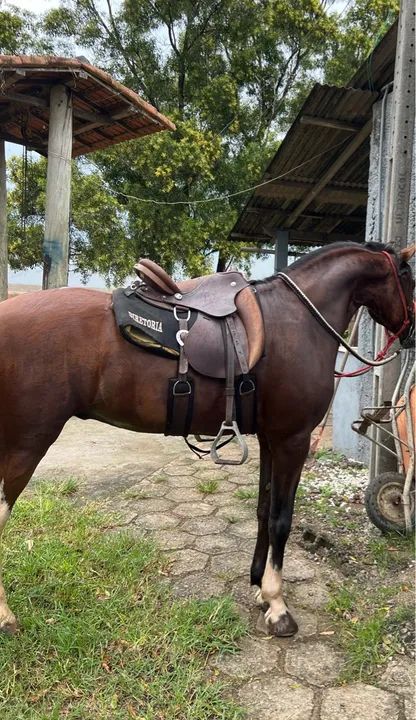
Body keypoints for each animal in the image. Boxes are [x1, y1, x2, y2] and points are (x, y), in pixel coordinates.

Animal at [0, 241, 414, 636]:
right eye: (409, 277)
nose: (411, 335)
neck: (298, 319)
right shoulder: (292, 440)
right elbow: (281, 519)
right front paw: (278, 607)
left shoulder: (271, 439)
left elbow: (263, 510)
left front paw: (259, 587)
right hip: (26, 444)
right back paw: (6, 617)